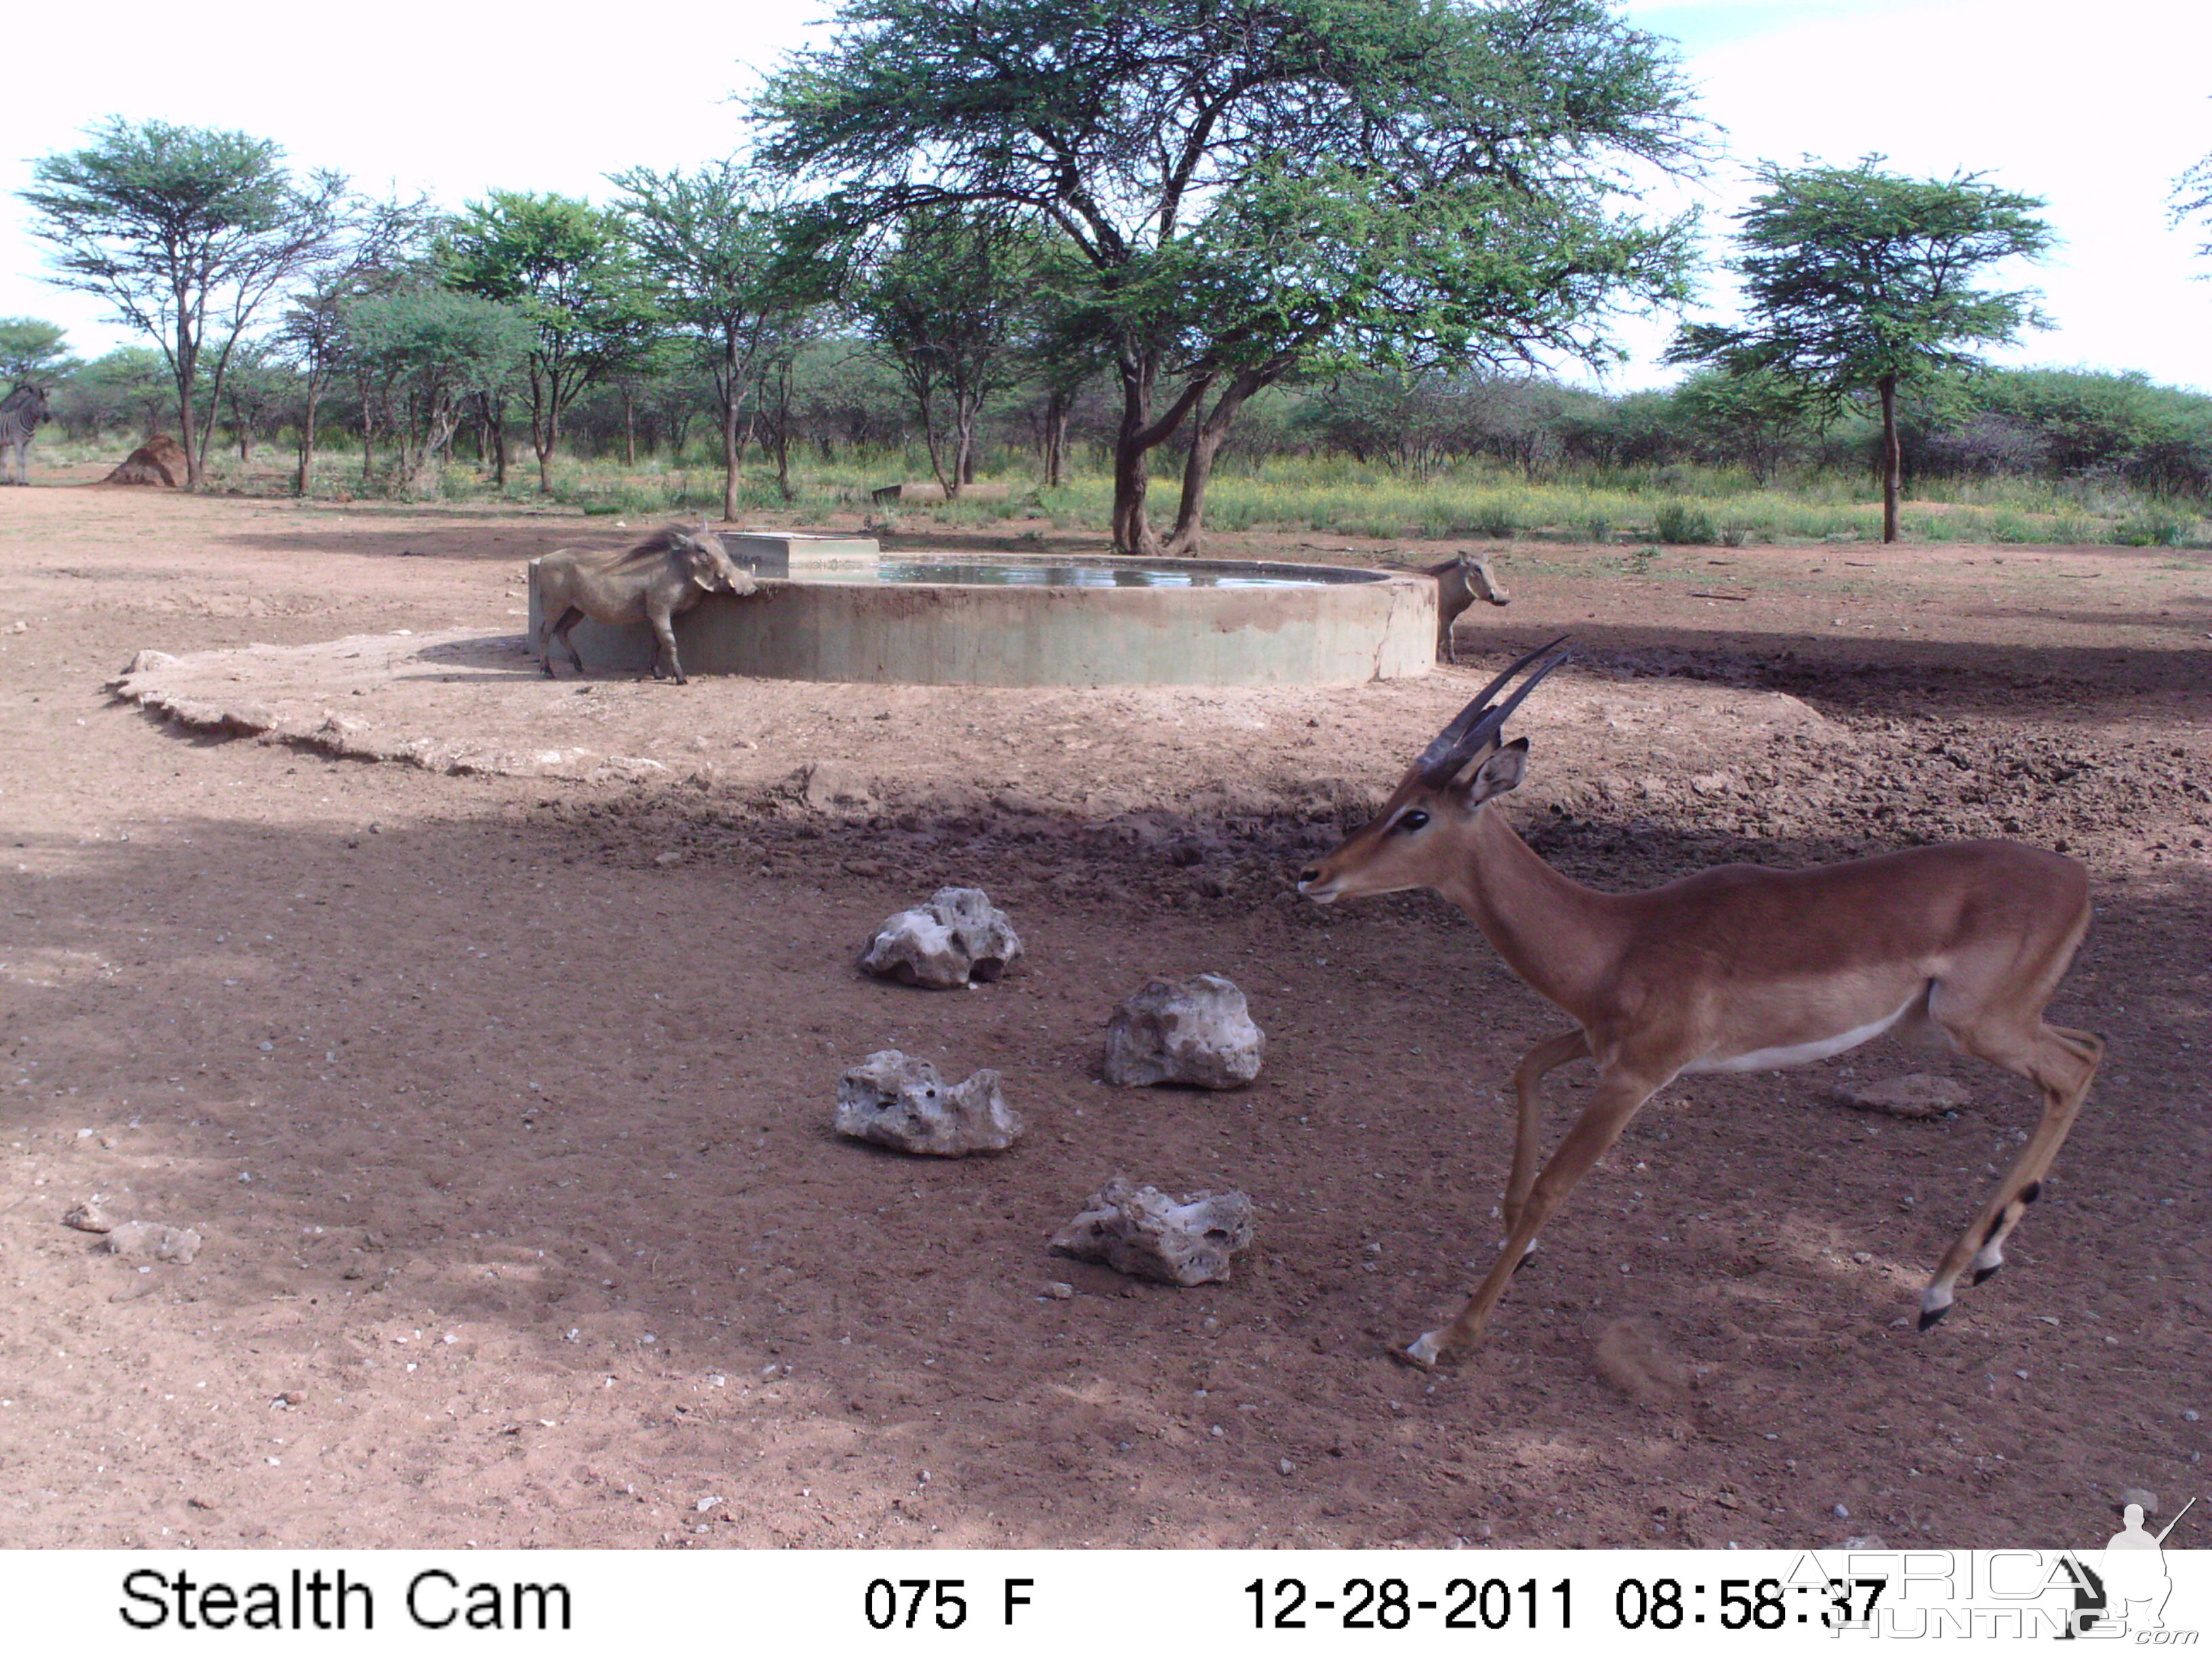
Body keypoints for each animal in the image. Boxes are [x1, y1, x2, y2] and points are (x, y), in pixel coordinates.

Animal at [0, 389, 49, 487]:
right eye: (39, 404)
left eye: (48, 404)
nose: (48, 418)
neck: (29, 423)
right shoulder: (17, 443)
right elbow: (19, 461)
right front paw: (20, 482)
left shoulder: (27, 444)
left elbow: (25, 462)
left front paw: (25, 481)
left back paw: (5, 481)